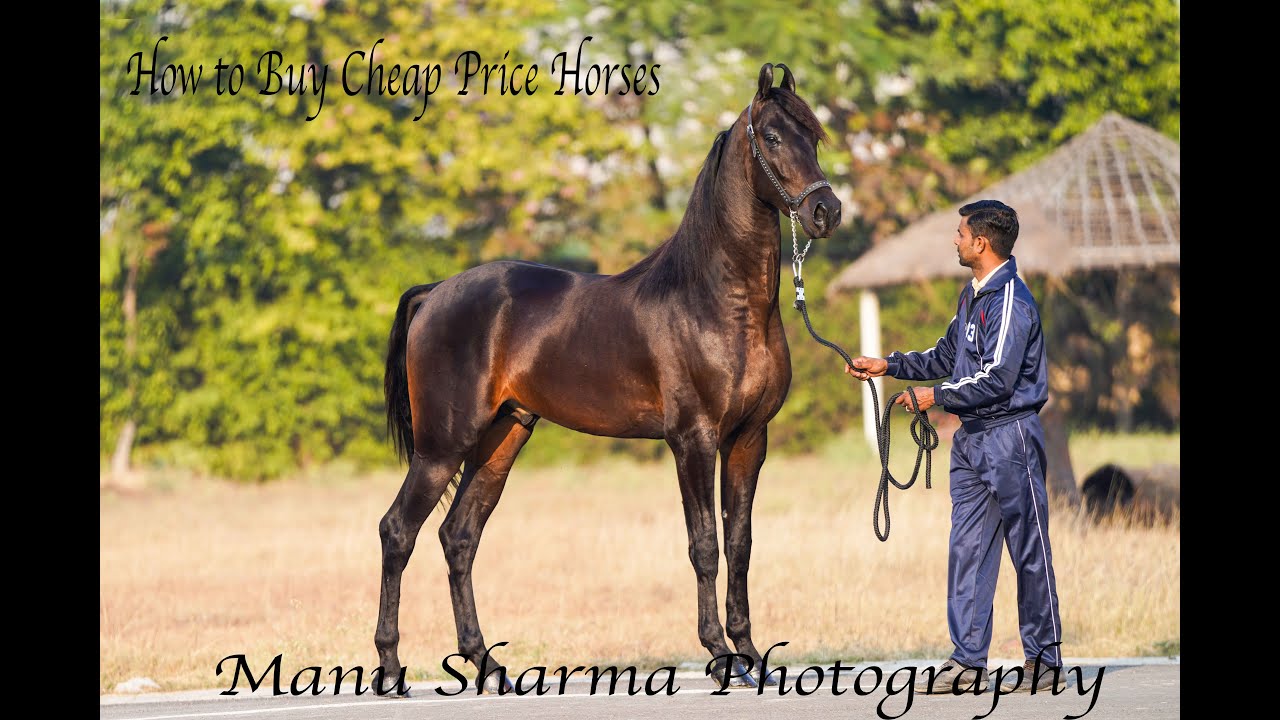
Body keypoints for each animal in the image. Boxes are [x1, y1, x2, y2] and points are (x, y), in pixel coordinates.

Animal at [376, 62, 842, 692]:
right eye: (771, 137)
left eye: (813, 136)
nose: (826, 212)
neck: (719, 301)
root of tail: (435, 294)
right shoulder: (692, 440)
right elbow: (705, 545)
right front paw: (720, 653)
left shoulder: (749, 439)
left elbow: (740, 545)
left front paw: (751, 657)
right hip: (442, 447)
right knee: (398, 531)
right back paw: (391, 667)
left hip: (502, 438)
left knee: (459, 537)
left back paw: (489, 665)